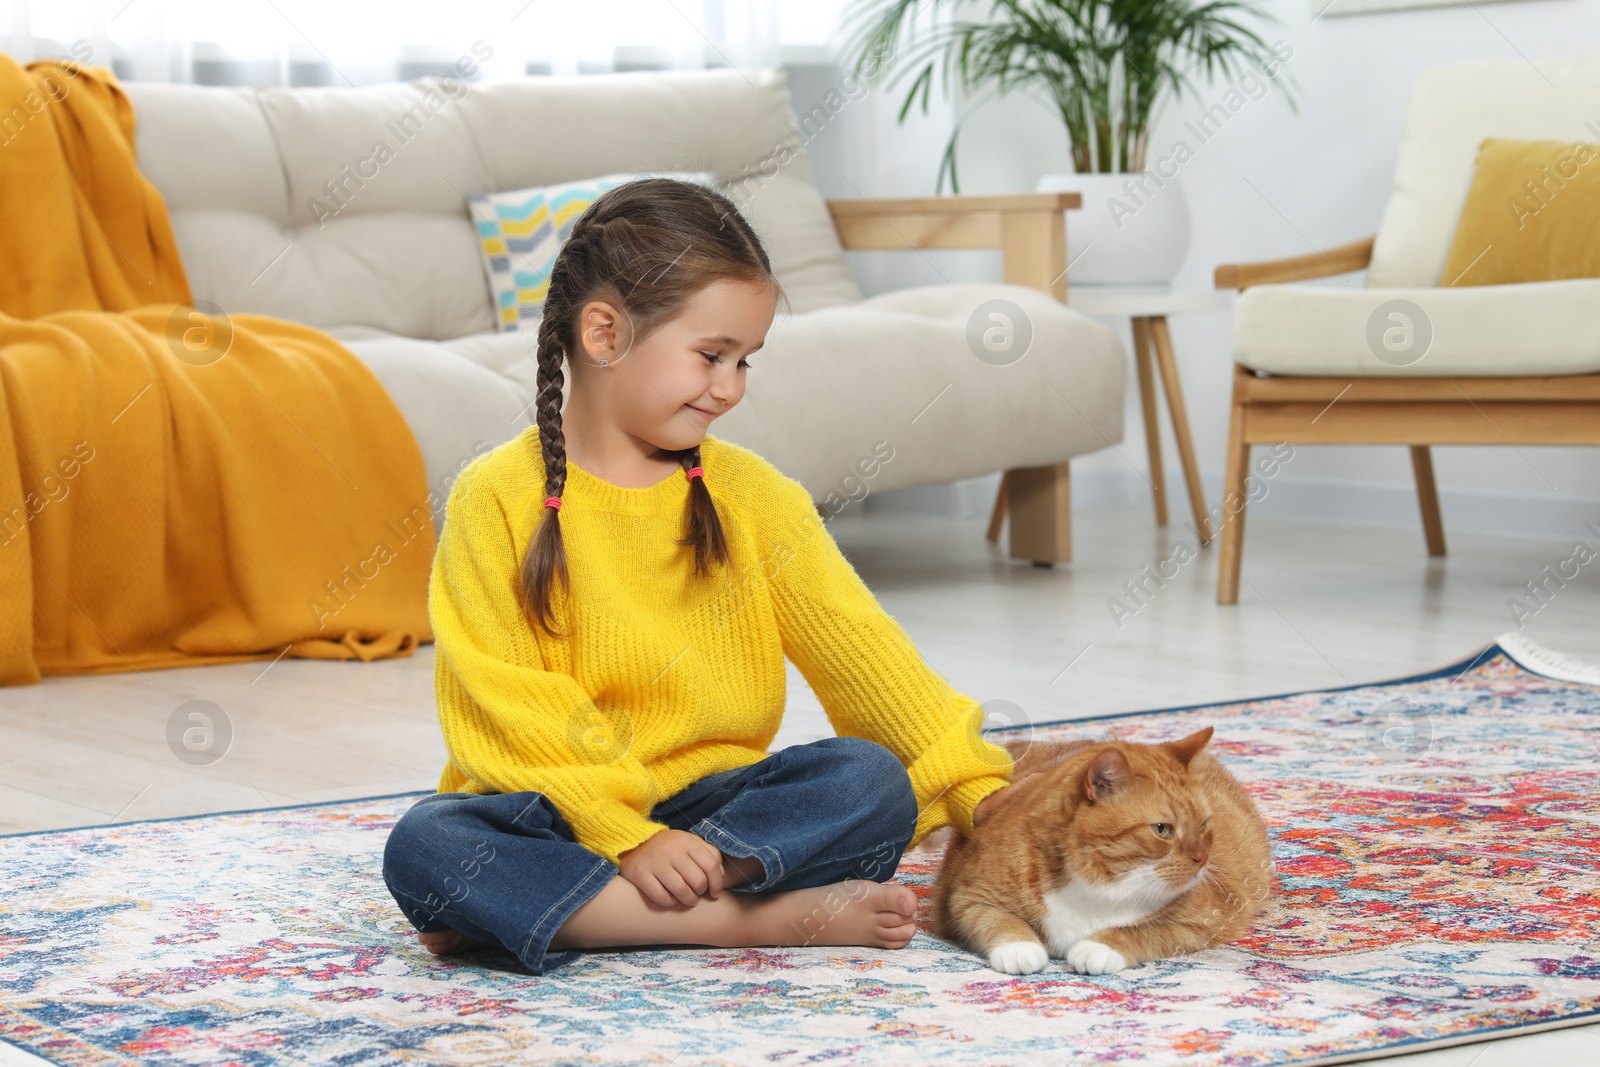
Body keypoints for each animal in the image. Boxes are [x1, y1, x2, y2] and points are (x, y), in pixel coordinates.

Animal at [934, 726, 1267, 979]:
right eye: (1162, 829)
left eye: (1203, 825)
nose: (1202, 859)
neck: (1100, 879)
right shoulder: (967, 898)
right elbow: (999, 920)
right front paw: (1019, 948)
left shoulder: (1206, 921)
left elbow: (1142, 932)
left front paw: (1099, 948)